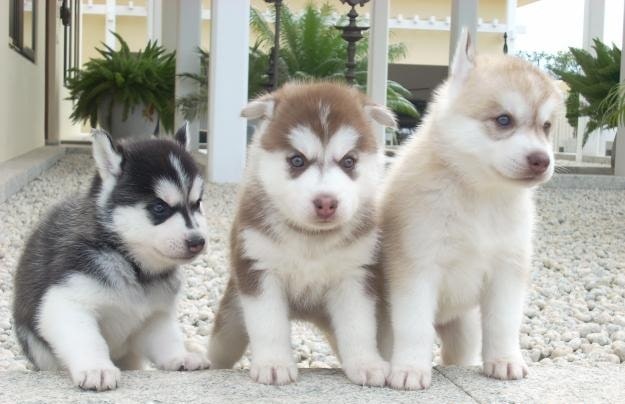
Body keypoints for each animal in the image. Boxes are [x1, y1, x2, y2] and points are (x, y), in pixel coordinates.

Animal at [12, 125, 211, 392]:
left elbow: (166, 338)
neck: (132, 264)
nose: (198, 241)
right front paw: (96, 368)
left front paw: (179, 356)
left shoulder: (154, 315)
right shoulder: (65, 302)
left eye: (197, 204)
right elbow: (88, 339)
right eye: (159, 208)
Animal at [210, 81, 394, 386]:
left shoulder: (356, 275)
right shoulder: (259, 269)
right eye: (297, 160)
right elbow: (269, 324)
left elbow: (358, 326)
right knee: (220, 349)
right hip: (230, 322)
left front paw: (366, 363)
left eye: (349, 161)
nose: (326, 202)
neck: (312, 240)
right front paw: (274, 363)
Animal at [378, 30, 564, 390]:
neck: (481, 196)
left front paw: (504, 361)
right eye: (503, 119)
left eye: (546, 126)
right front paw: (410, 369)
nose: (541, 160)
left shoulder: (508, 270)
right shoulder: (416, 270)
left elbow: (503, 322)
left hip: (462, 331)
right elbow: (414, 326)